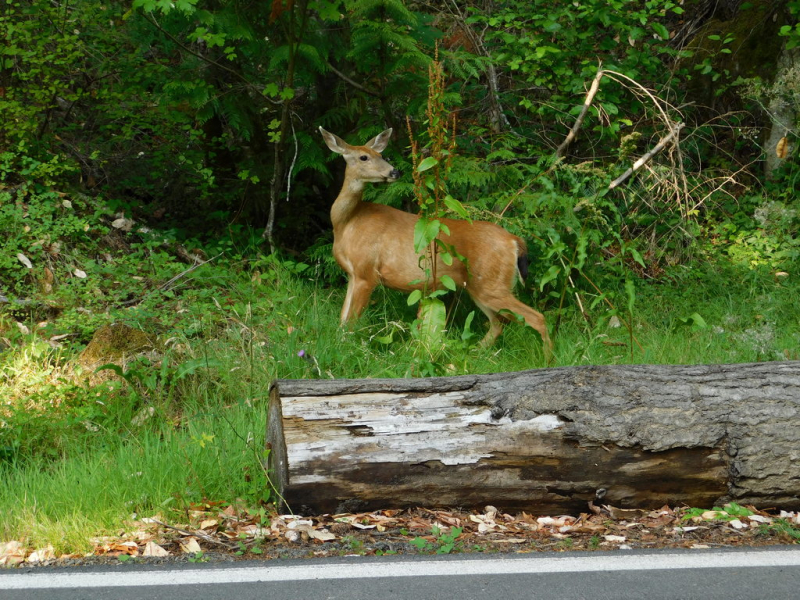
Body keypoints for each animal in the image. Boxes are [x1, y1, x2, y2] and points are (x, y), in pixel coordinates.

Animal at [318, 126, 552, 352]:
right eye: (364, 157)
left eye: (381, 154)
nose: (395, 171)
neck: (346, 222)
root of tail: (514, 240)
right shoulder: (353, 274)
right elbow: (342, 319)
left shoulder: (367, 272)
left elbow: (350, 322)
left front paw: (348, 349)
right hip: (480, 285)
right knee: (499, 323)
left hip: (492, 282)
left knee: (536, 318)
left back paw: (546, 359)